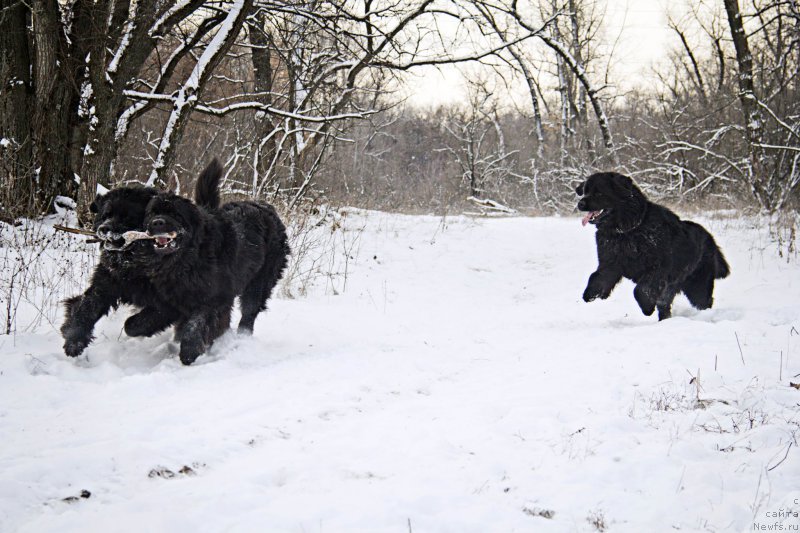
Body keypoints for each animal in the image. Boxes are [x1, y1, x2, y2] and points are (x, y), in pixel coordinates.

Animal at [59, 160, 223, 356]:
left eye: (127, 217)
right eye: (106, 215)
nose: (104, 228)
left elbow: (134, 323)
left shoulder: (169, 301)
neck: (133, 265)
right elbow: (86, 306)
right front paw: (74, 340)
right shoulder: (107, 281)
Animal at [576, 171, 732, 320]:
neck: (627, 231)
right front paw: (591, 294)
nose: (580, 204)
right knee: (665, 305)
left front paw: (647, 308)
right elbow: (597, 277)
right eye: (585, 192)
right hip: (673, 286)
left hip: (698, 285)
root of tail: (710, 238)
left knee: (704, 301)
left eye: (599, 193)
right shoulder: (610, 263)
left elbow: (641, 290)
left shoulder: (658, 268)